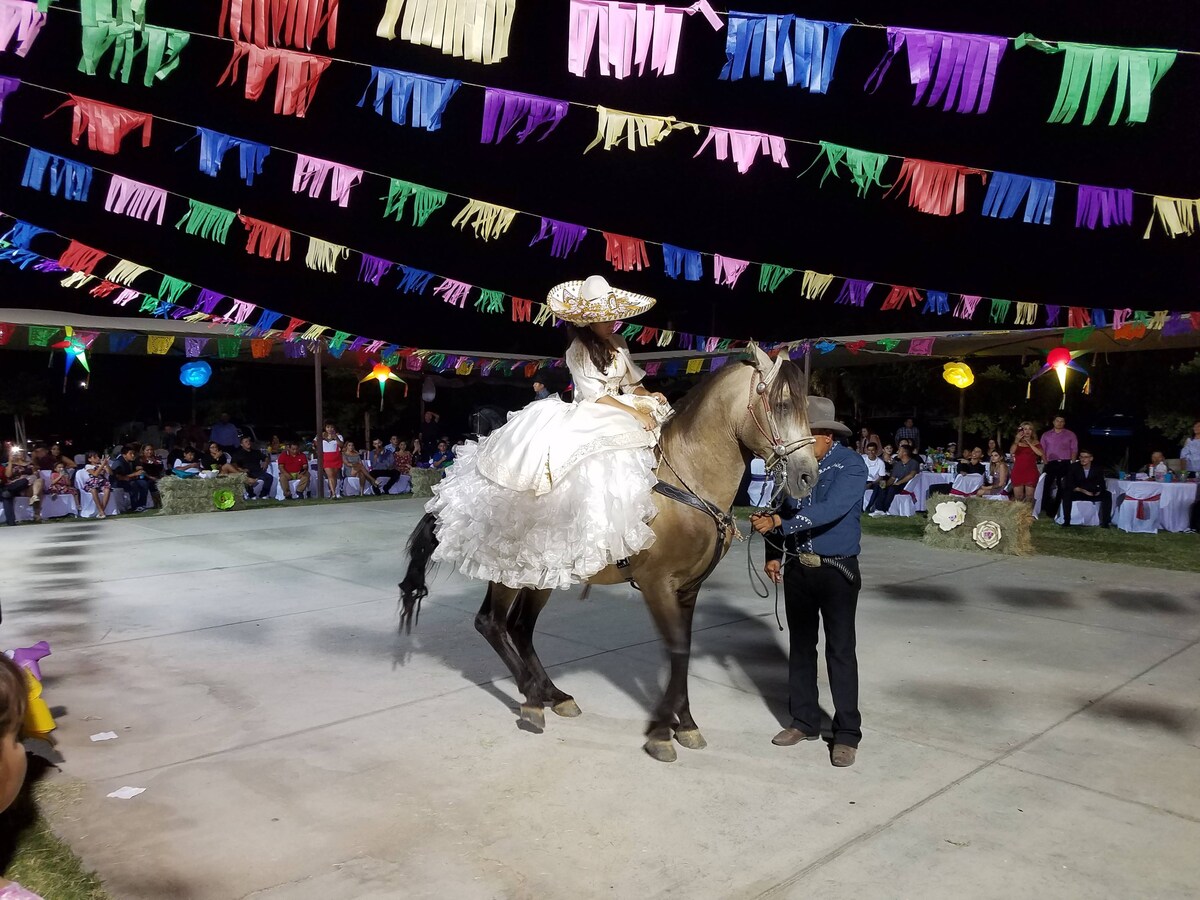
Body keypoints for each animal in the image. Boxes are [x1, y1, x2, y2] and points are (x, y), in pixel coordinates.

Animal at [398, 343, 820, 763]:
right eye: (781, 404)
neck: (686, 481)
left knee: (520, 628)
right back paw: (532, 700)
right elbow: (676, 648)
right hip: (507, 571)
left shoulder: (688, 589)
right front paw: (661, 732)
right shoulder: (657, 585)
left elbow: (682, 652)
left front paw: (684, 724)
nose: (807, 476)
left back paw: (554, 695)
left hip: (539, 575)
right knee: (492, 624)